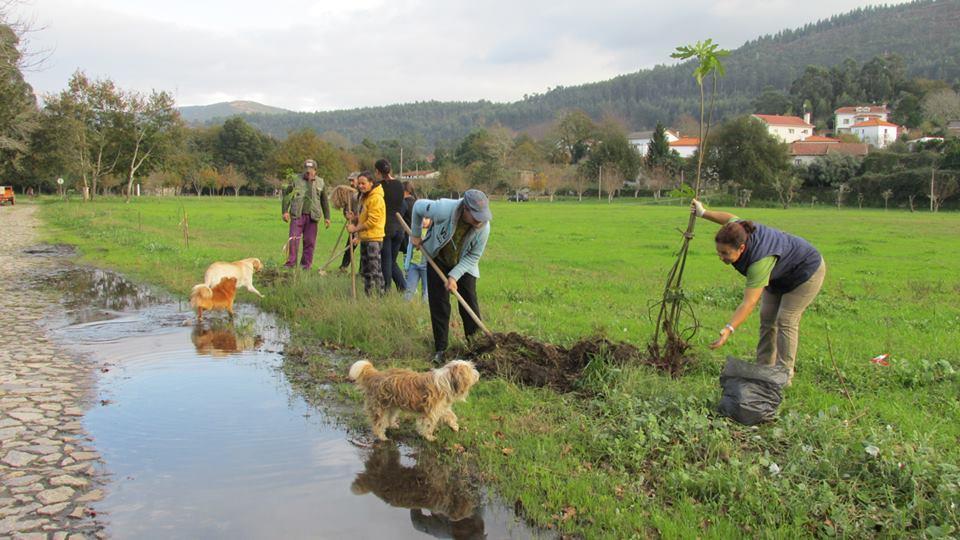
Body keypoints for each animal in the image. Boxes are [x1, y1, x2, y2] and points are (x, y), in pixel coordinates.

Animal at [346, 358, 478, 442]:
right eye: (471, 370)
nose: (478, 374)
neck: (447, 380)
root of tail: (376, 375)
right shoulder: (430, 411)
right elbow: (428, 424)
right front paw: (429, 437)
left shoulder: (441, 408)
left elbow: (450, 415)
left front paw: (454, 426)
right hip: (380, 407)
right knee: (378, 423)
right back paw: (382, 437)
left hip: (392, 405)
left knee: (389, 417)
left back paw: (393, 425)